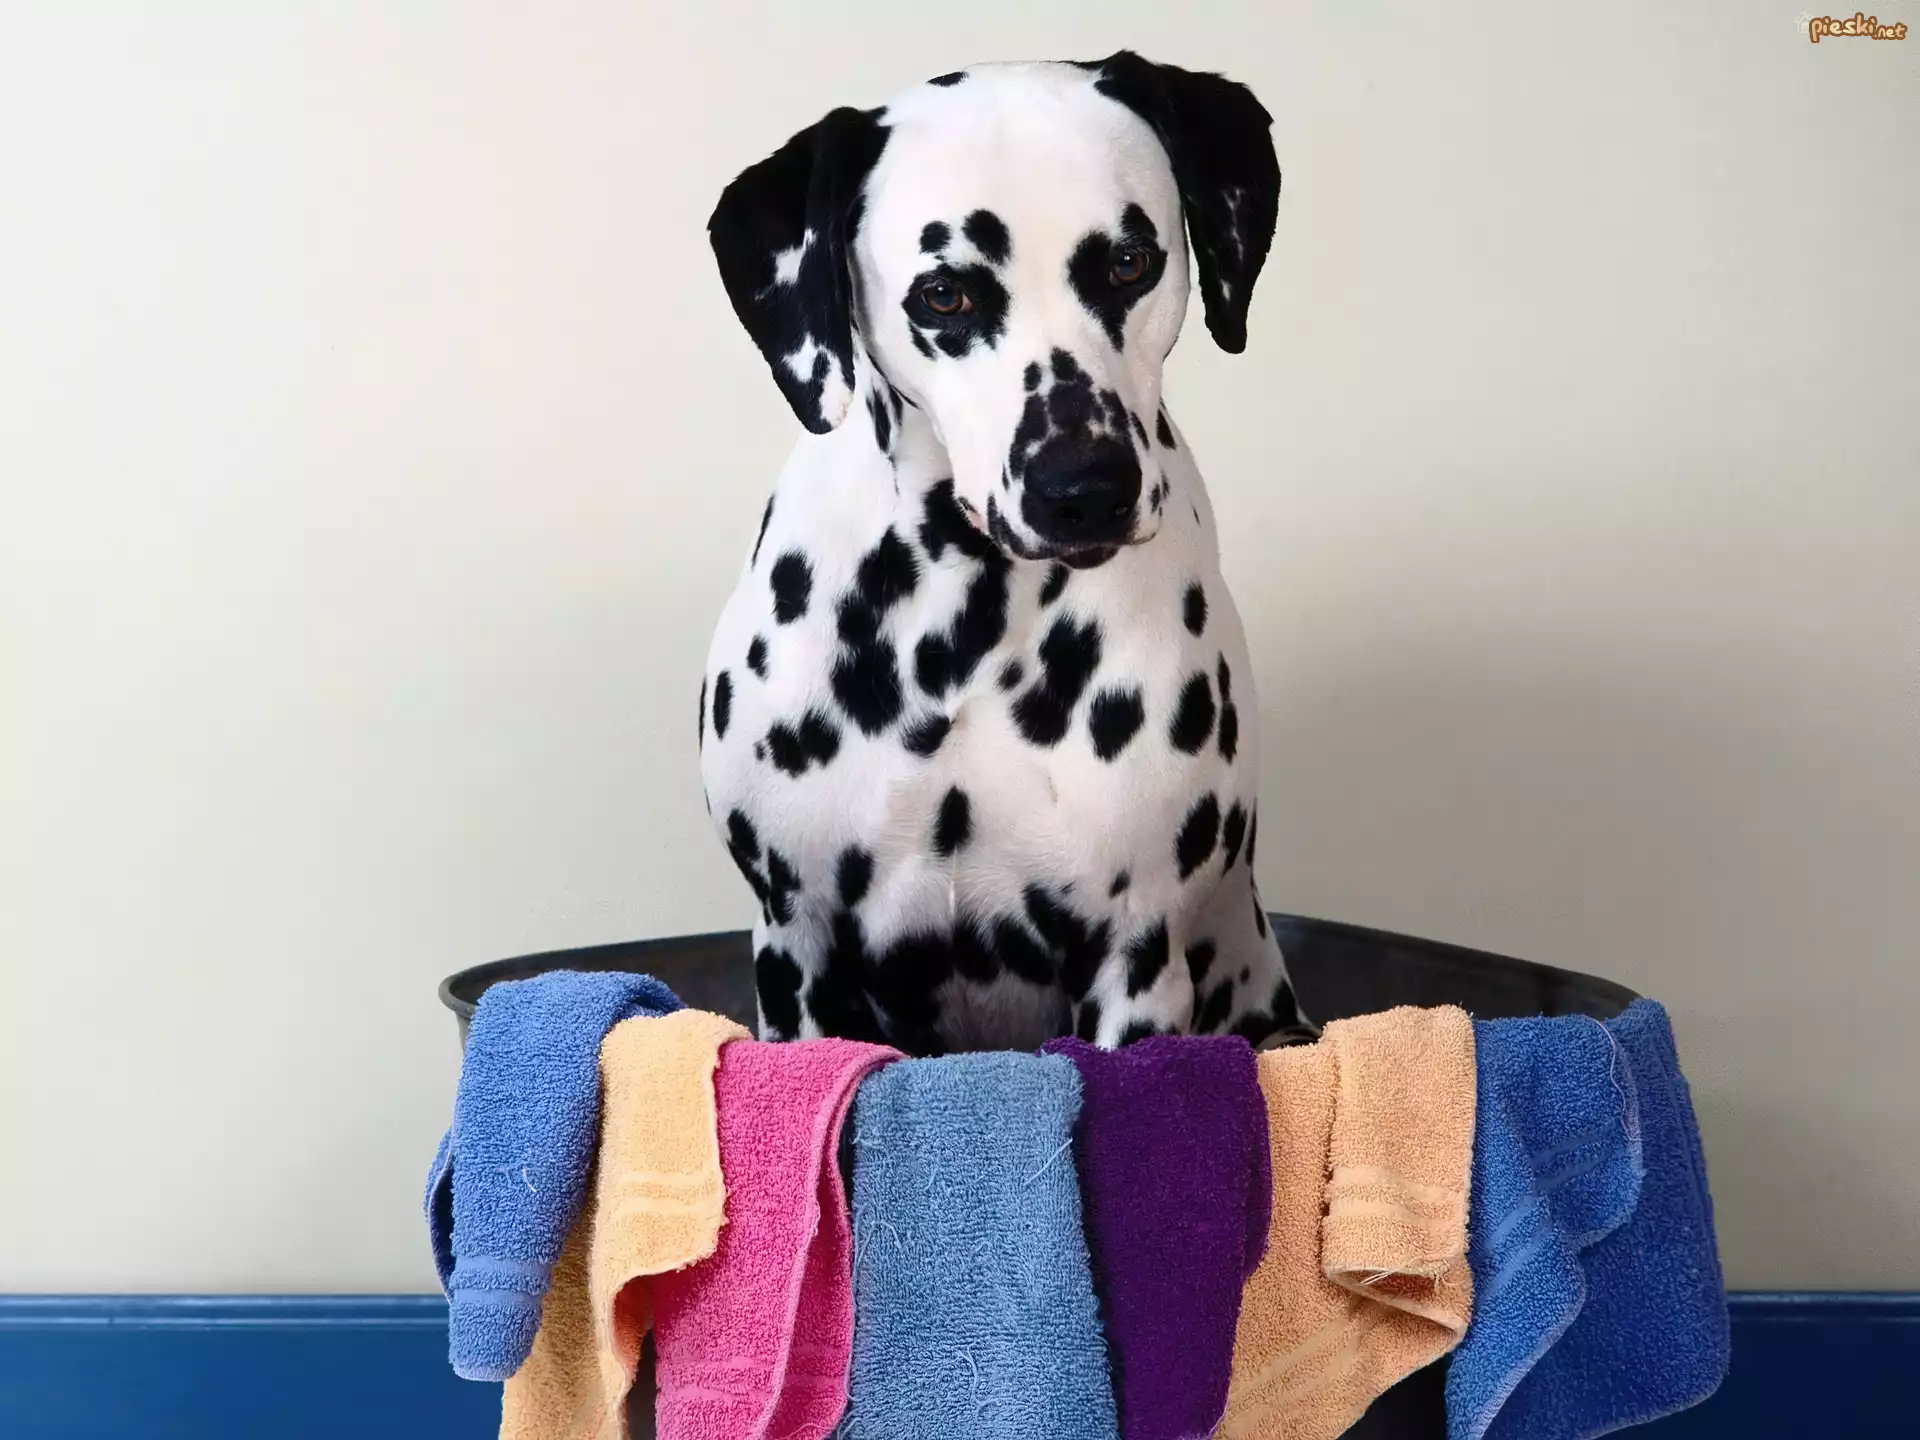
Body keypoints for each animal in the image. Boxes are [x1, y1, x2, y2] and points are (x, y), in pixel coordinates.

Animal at [697, 53, 1313, 1055]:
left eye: (1130, 262)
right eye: (945, 294)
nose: (1083, 486)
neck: (967, 618)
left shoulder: (1134, 959)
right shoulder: (797, 950)